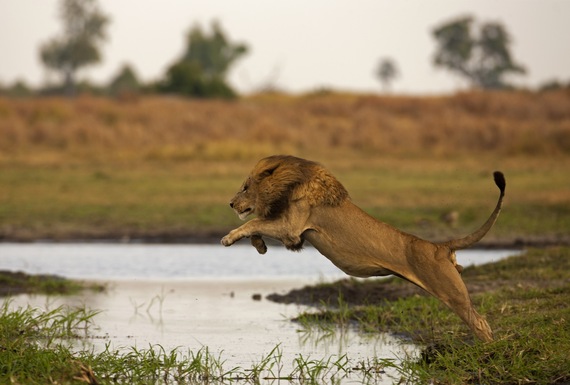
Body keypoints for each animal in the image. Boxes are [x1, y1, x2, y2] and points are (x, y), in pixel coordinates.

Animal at [222, 153, 506, 340]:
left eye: (245, 187)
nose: (231, 204)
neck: (292, 181)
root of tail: (440, 246)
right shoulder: (294, 234)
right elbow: (258, 225)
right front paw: (259, 246)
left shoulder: (292, 227)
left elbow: (255, 221)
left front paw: (228, 238)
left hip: (450, 291)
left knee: (480, 322)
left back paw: (486, 351)